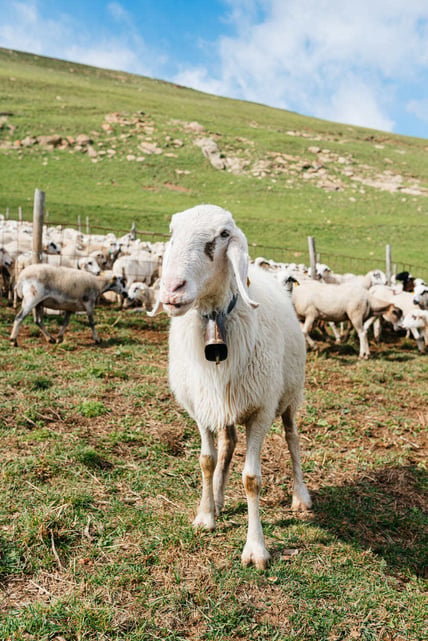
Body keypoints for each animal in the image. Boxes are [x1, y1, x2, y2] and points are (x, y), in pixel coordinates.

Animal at [152, 204, 311, 569]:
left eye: (223, 234)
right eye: (172, 231)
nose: (171, 289)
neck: (215, 320)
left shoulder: (261, 411)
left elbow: (252, 479)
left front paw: (256, 549)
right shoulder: (200, 407)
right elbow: (207, 460)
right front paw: (206, 514)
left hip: (290, 396)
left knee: (292, 439)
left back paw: (300, 495)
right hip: (223, 402)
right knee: (227, 443)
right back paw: (219, 496)